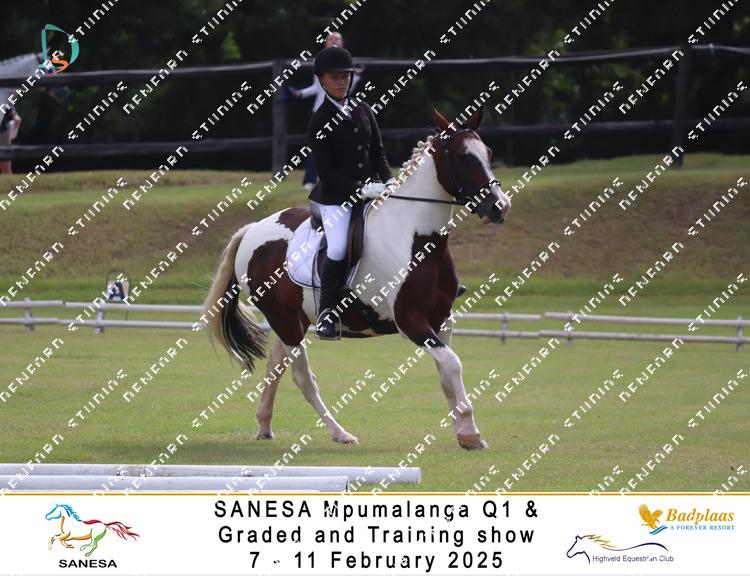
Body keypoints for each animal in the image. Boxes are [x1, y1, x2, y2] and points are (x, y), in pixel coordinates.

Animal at [204, 107, 511, 450]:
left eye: (488, 154)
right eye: (462, 157)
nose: (500, 207)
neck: (416, 237)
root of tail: (252, 230)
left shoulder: (442, 319)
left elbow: (447, 372)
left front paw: (464, 432)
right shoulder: (411, 321)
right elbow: (452, 363)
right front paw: (470, 432)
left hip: (295, 319)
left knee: (276, 364)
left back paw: (264, 425)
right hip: (284, 319)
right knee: (302, 377)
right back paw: (339, 433)